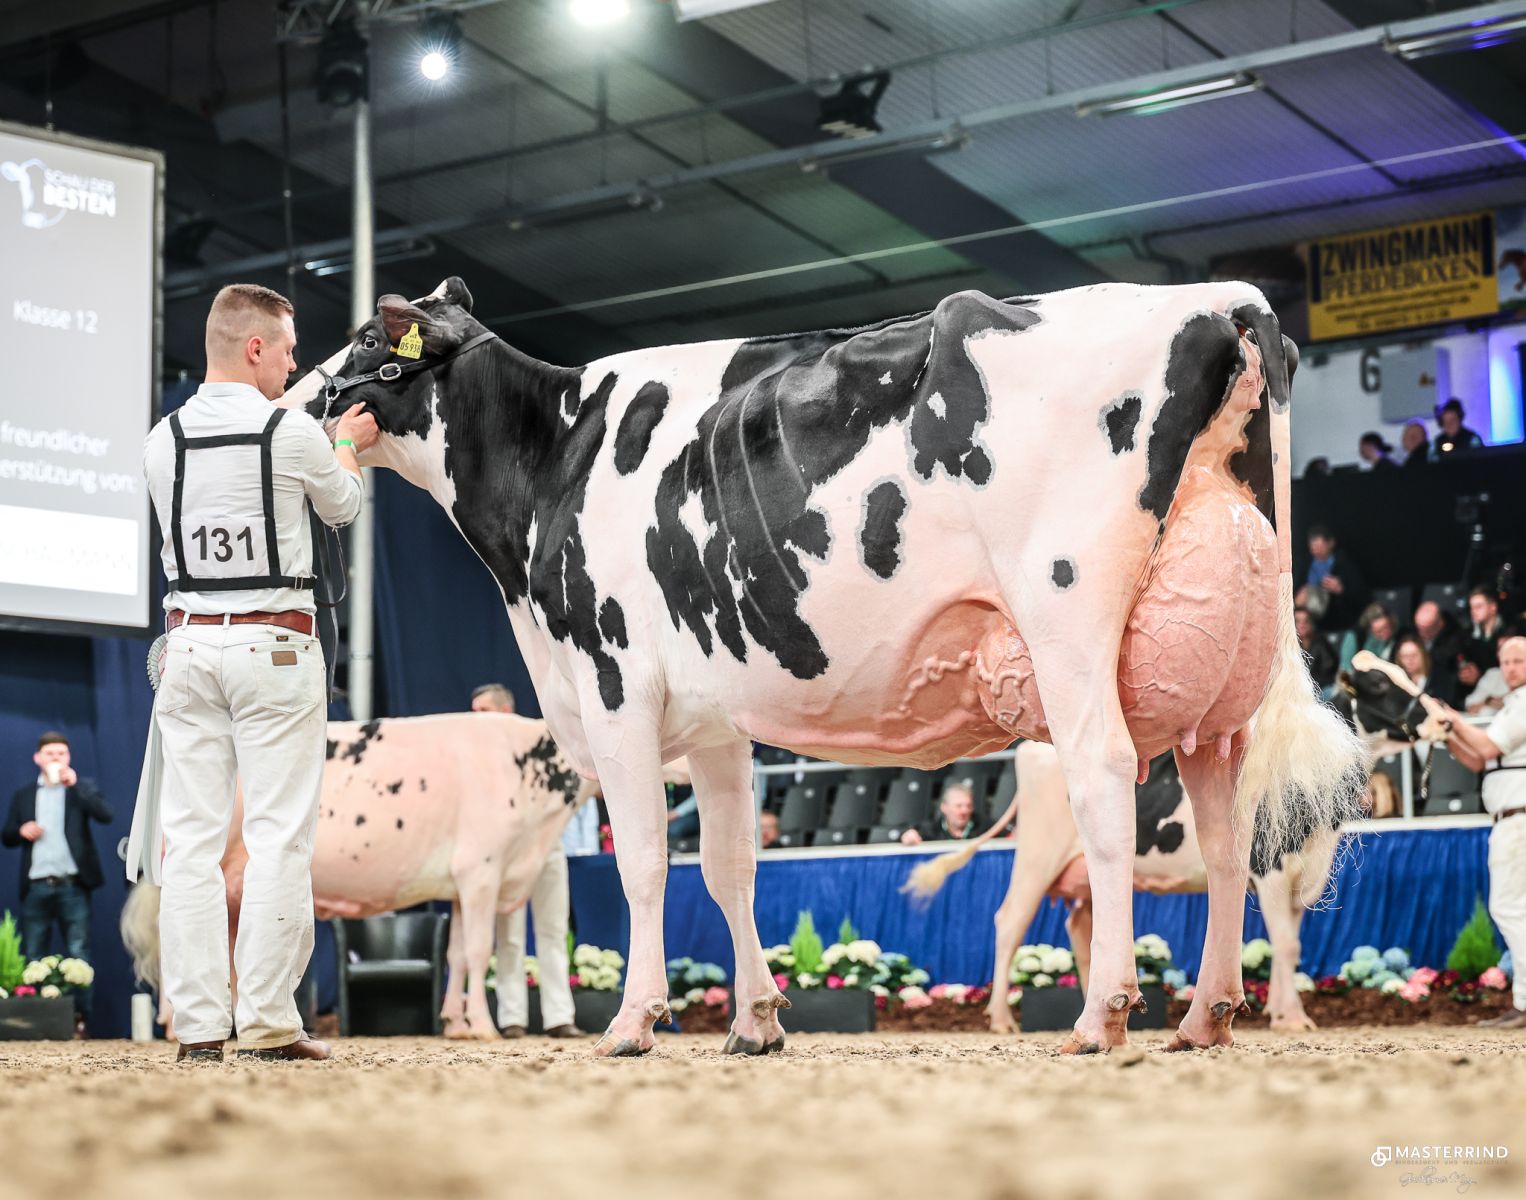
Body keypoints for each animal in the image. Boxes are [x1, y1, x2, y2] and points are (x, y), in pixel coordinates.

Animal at [122, 712, 591, 1040]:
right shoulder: (481, 870)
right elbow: (478, 953)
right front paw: (482, 1025)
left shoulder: (463, 885)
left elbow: (456, 955)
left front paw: (456, 1025)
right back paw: (174, 1026)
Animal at [908, 739, 1337, 1034]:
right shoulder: (1271, 869)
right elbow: (1287, 946)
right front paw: (1292, 1017)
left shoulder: (1303, 876)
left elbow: (1288, 946)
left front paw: (1280, 1012)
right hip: (1037, 856)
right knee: (1011, 921)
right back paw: (1001, 1020)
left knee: (1081, 928)